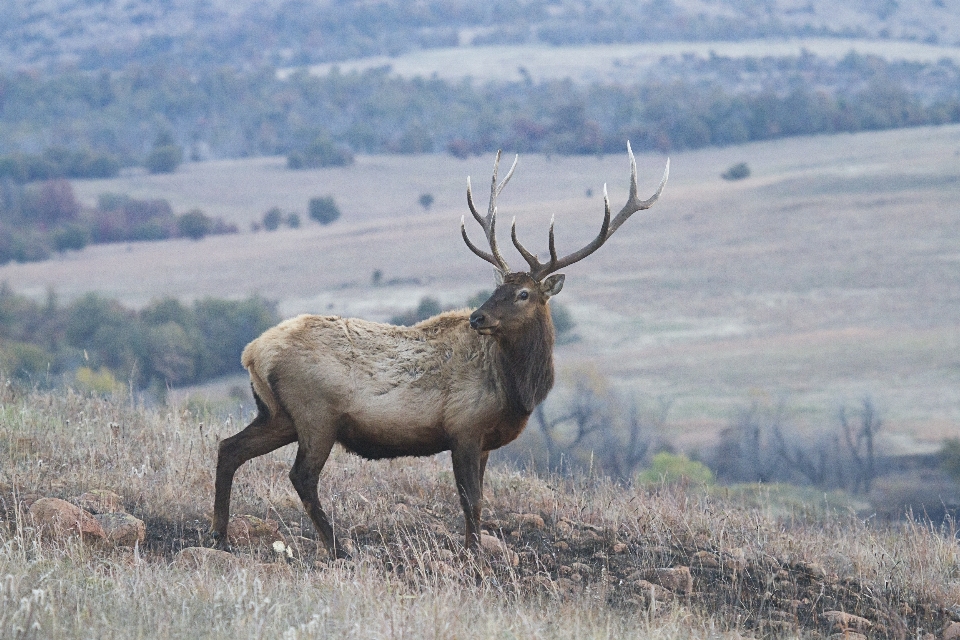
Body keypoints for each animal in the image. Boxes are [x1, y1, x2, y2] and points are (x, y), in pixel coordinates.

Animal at [213, 144, 668, 556]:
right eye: (498, 289)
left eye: (522, 293)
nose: (477, 318)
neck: (517, 389)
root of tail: (253, 353)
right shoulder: (463, 428)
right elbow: (472, 500)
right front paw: (475, 556)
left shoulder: (483, 442)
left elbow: (477, 500)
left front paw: (473, 550)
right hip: (315, 414)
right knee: (302, 477)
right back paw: (338, 548)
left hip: (277, 414)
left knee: (228, 448)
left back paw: (220, 536)